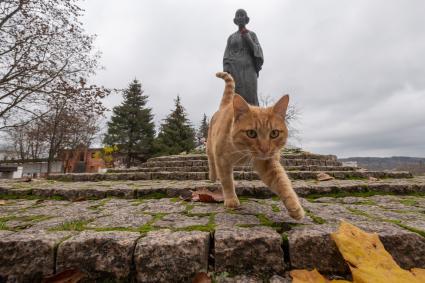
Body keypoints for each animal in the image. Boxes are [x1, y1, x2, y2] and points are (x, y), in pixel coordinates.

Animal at [206, 72, 304, 221]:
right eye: (251, 133)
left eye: (274, 133)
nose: (264, 149)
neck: (241, 152)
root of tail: (225, 106)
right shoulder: (222, 160)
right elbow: (227, 181)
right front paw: (231, 200)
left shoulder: (268, 162)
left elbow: (282, 182)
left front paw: (294, 207)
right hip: (210, 148)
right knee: (211, 162)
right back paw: (212, 176)